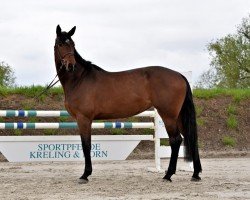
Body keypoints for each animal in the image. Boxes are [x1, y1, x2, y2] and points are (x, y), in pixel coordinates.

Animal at [54, 25, 201, 184]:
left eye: (72, 44)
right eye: (61, 44)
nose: (70, 66)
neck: (79, 79)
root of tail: (180, 75)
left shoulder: (84, 119)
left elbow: (86, 145)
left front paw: (85, 175)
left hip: (168, 115)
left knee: (176, 140)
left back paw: (168, 175)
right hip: (178, 116)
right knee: (190, 138)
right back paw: (195, 174)